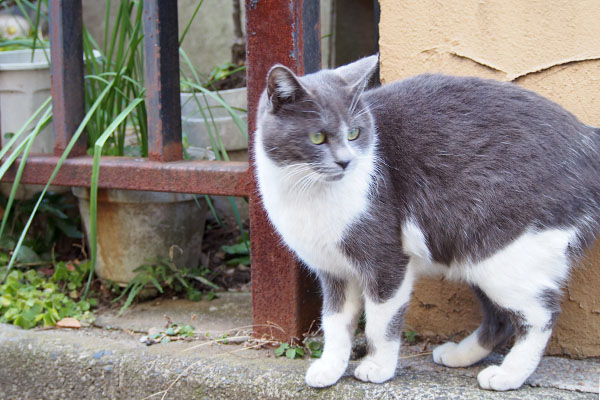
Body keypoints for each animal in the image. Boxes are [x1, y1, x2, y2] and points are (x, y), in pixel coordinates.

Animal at [251, 55, 596, 390]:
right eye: (318, 137)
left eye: (354, 133)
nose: (346, 161)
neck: (307, 193)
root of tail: (588, 136)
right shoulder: (333, 272)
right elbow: (334, 323)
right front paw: (329, 369)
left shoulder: (386, 263)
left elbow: (380, 323)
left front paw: (377, 367)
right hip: (476, 258)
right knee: (501, 319)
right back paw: (460, 355)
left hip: (505, 254)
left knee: (541, 314)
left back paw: (508, 375)